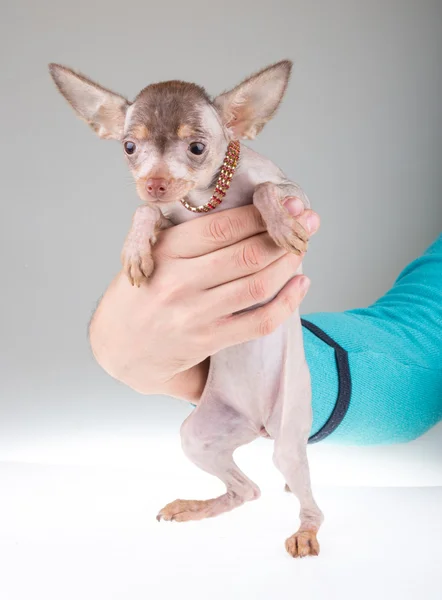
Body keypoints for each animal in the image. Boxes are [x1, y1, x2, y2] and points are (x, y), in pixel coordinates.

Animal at [49, 61, 324, 556]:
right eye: (129, 147)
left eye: (196, 147)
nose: (155, 182)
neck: (205, 199)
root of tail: (260, 426)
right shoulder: (168, 214)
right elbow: (145, 211)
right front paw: (136, 247)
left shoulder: (298, 195)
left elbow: (265, 189)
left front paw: (277, 222)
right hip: (199, 436)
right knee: (247, 490)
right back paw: (197, 507)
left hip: (291, 434)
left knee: (301, 491)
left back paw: (306, 530)